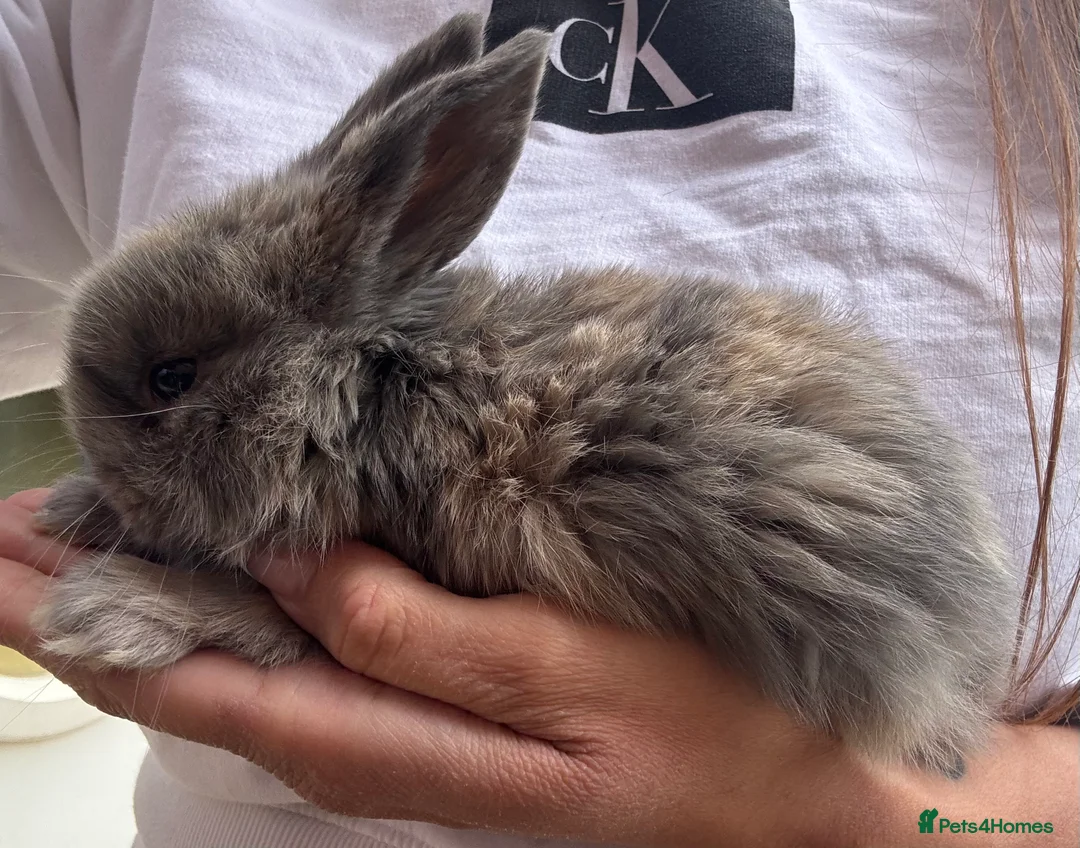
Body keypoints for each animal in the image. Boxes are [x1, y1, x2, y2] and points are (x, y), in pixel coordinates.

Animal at [32, 13, 1017, 774]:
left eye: (172, 378)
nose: (105, 480)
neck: (368, 392)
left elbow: (269, 620)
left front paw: (103, 612)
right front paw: (72, 515)